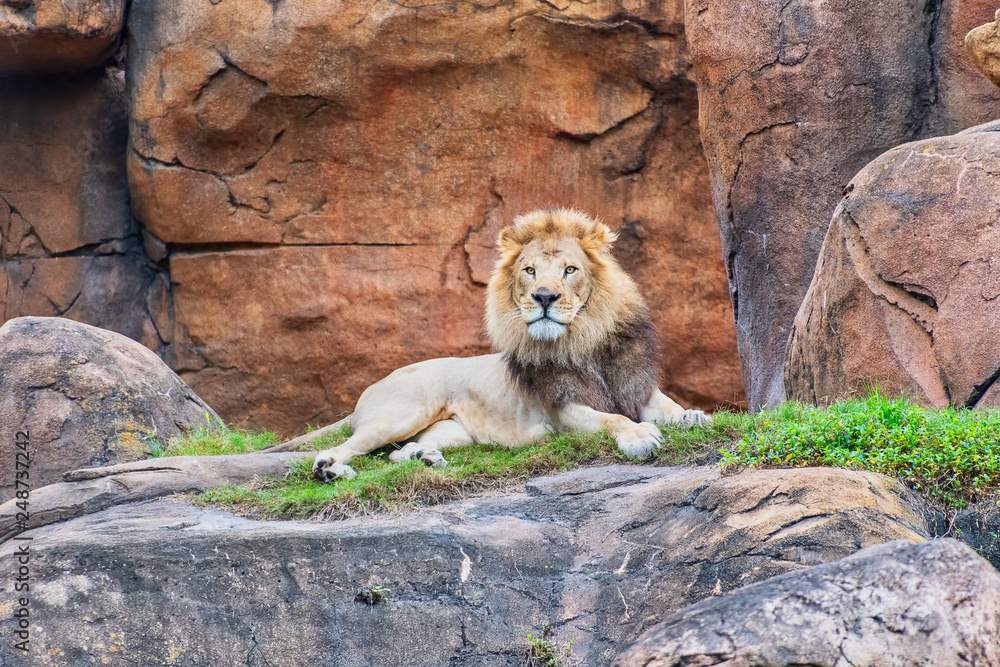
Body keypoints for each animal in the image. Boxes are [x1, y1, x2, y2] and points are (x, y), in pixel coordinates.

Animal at [275, 208, 710, 481]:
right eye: (529, 270)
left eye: (570, 269)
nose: (545, 297)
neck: (585, 341)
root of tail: (371, 389)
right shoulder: (561, 412)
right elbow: (611, 420)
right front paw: (639, 437)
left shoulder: (637, 388)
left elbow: (668, 406)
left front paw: (692, 416)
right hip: (403, 412)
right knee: (350, 446)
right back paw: (330, 469)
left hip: (452, 432)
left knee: (397, 454)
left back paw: (424, 458)